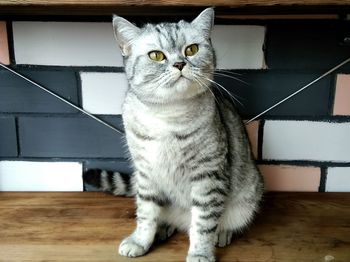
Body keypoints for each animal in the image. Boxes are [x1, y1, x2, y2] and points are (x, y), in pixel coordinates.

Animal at [85, 8, 264, 262]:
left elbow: (203, 223)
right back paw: (163, 229)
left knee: (219, 222)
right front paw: (141, 240)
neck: (167, 115)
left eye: (191, 50)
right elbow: (146, 214)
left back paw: (221, 234)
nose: (180, 63)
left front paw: (200, 252)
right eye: (156, 55)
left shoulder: (208, 175)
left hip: (247, 198)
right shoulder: (146, 174)